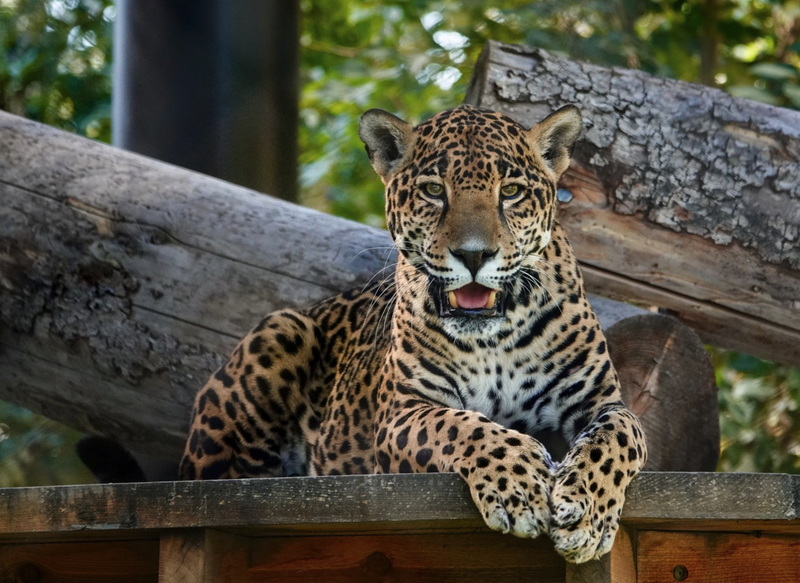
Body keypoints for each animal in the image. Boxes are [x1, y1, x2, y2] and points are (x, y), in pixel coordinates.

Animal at [179, 103, 647, 564]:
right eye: (434, 191)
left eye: (511, 191)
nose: (474, 255)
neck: (494, 339)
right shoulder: (402, 411)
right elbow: (462, 426)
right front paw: (520, 485)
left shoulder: (600, 401)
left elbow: (619, 438)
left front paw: (588, 513)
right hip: (278, 334)